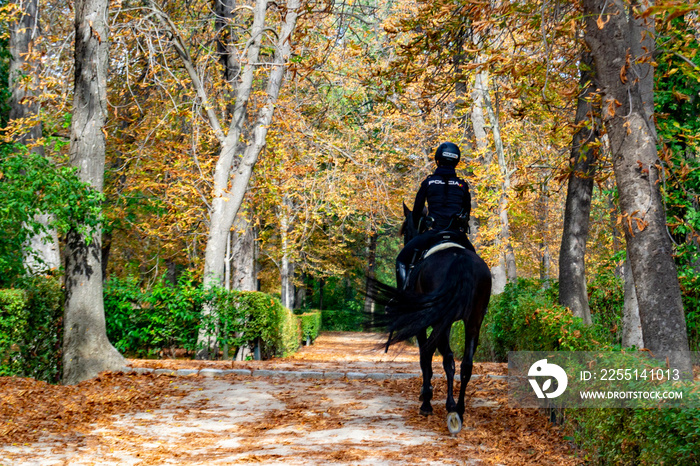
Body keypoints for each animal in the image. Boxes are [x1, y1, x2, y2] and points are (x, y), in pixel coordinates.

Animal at [366, 204, 492, 434]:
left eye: (407, 228)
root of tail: (460, 259)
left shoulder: (423, 323)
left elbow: (425, 355)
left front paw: (427, 398)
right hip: (473, 321)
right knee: (465, 364)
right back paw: (459, 409)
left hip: (440, 319)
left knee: (442, 356)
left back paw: (446, 407)